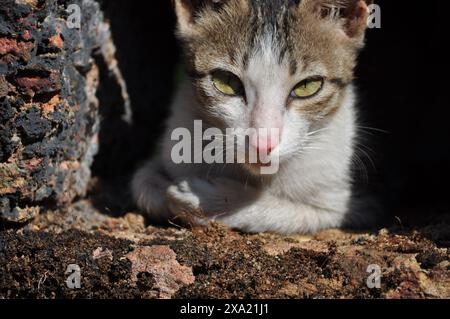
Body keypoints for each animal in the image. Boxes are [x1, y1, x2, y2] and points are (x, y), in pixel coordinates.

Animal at [132, 0, 374, 235]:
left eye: (307, 86)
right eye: (226, 81)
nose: (263, 144)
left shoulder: (360, 202)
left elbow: (313, 213)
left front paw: (214, 202)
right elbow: (141, 182)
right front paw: (163, 191)